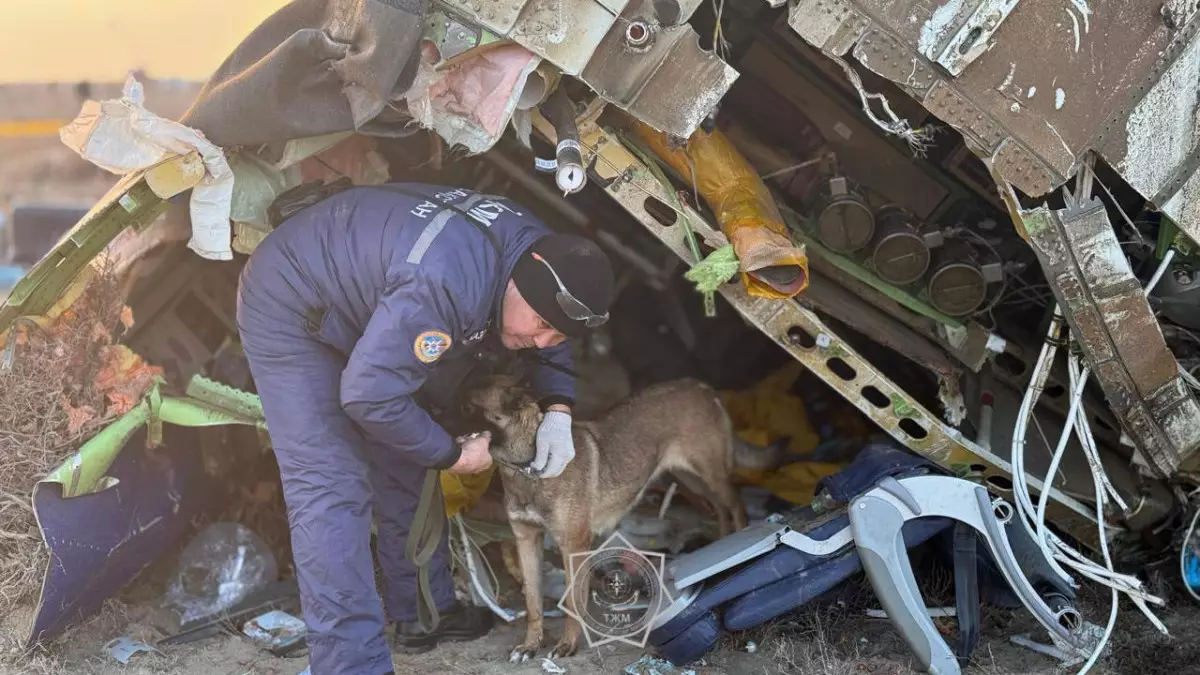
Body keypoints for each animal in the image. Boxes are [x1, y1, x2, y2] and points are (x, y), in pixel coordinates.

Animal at [463, 374, 744, 658]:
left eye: (468, 406)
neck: (528, 466)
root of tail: (698, 385)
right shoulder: (526, 540)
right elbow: (533, 601)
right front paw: (531, 644)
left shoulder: (574, 545)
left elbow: (573, 601)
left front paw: (568, 644)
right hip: (690, 478)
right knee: (719, 507)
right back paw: (724, 540)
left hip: (710, 474)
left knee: (736, 503)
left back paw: (742, 538)